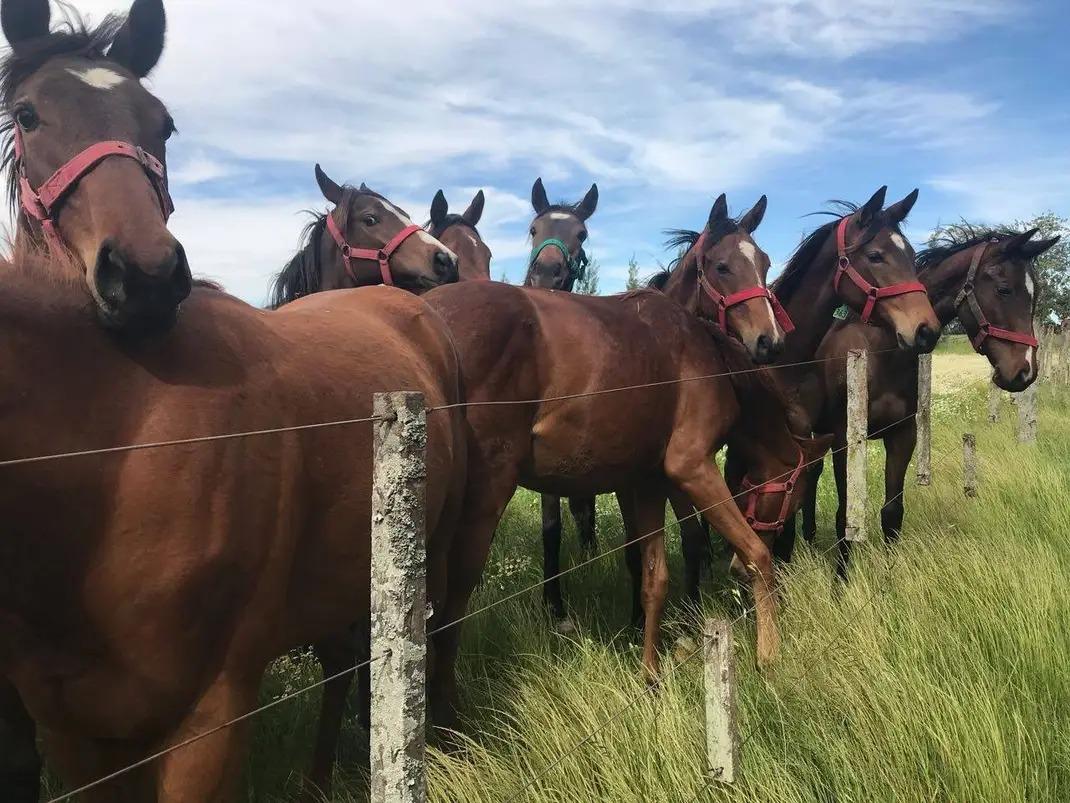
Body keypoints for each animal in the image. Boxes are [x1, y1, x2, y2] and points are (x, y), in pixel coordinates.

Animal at [787, 226, 1059, 575]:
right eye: (1004, 289)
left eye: (1034, 296)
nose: (1025, 371)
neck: (881, 349)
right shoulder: (844, 441)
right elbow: (846, 514)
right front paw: (842, 578)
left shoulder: (903, 435)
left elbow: (892, 512)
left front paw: (890, 576)